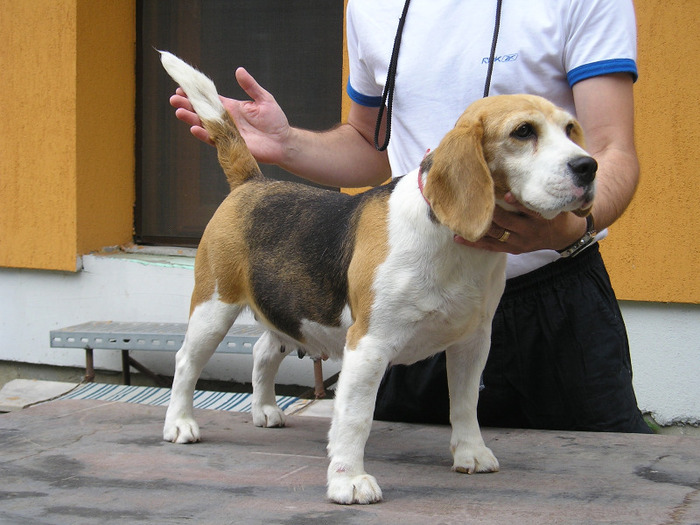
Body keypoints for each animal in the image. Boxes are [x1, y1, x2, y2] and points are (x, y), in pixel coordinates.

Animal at [159, 52, 596, 504]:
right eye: (523, 132)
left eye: (570, 129)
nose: (588, 167)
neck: (452, 240)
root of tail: (251, 183)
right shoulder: (369, 345)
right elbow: (355, 418)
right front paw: (348, 480)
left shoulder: (472, 341)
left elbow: (464, 405)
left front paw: (471, 453)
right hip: (214, 307)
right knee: (186, 362)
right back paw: (179, 423)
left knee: (264, 351)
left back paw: (264, 409)